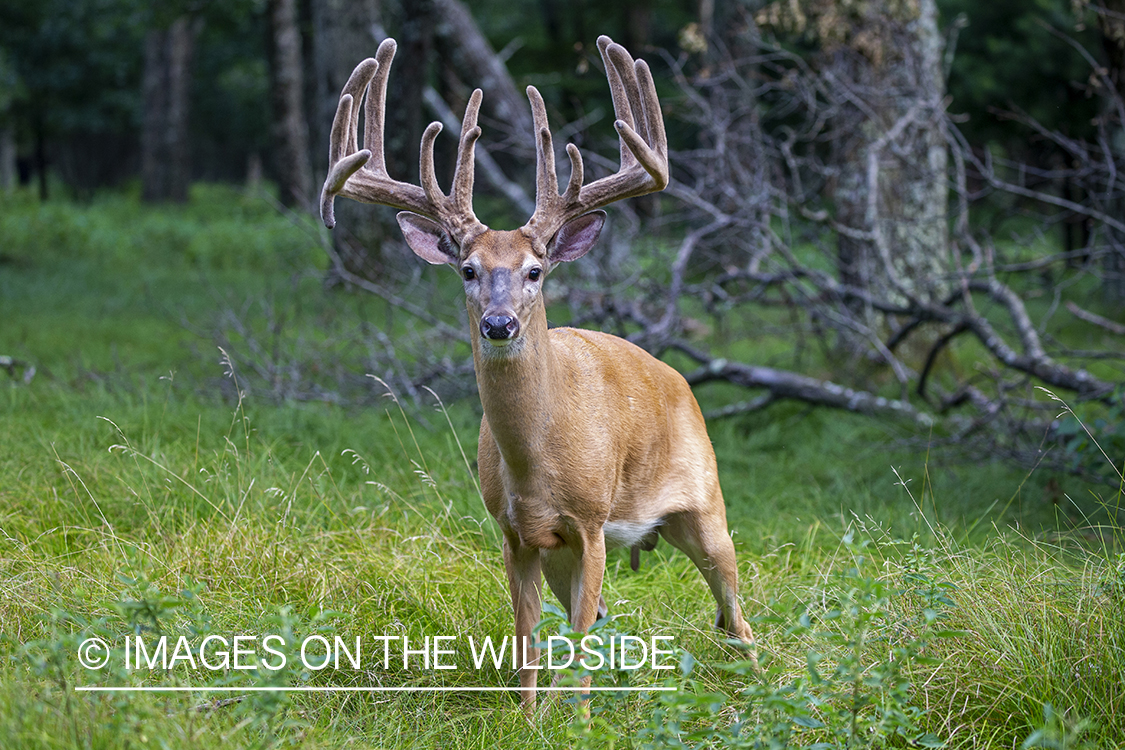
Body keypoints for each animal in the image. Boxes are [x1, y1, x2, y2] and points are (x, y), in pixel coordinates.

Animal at [317, 35, 756, 715]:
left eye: (535, 270)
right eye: (468, 269)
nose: (498, 324)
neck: (538, 458)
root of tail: (679, 381)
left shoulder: (592, 522)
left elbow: (576, 641)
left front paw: (575, 718)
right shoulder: (517, 533)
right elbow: (528, 636)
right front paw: (529, 715)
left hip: (706, 505)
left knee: (735, 610)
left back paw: (766, 684)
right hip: (570, 552)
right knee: (610, 618)